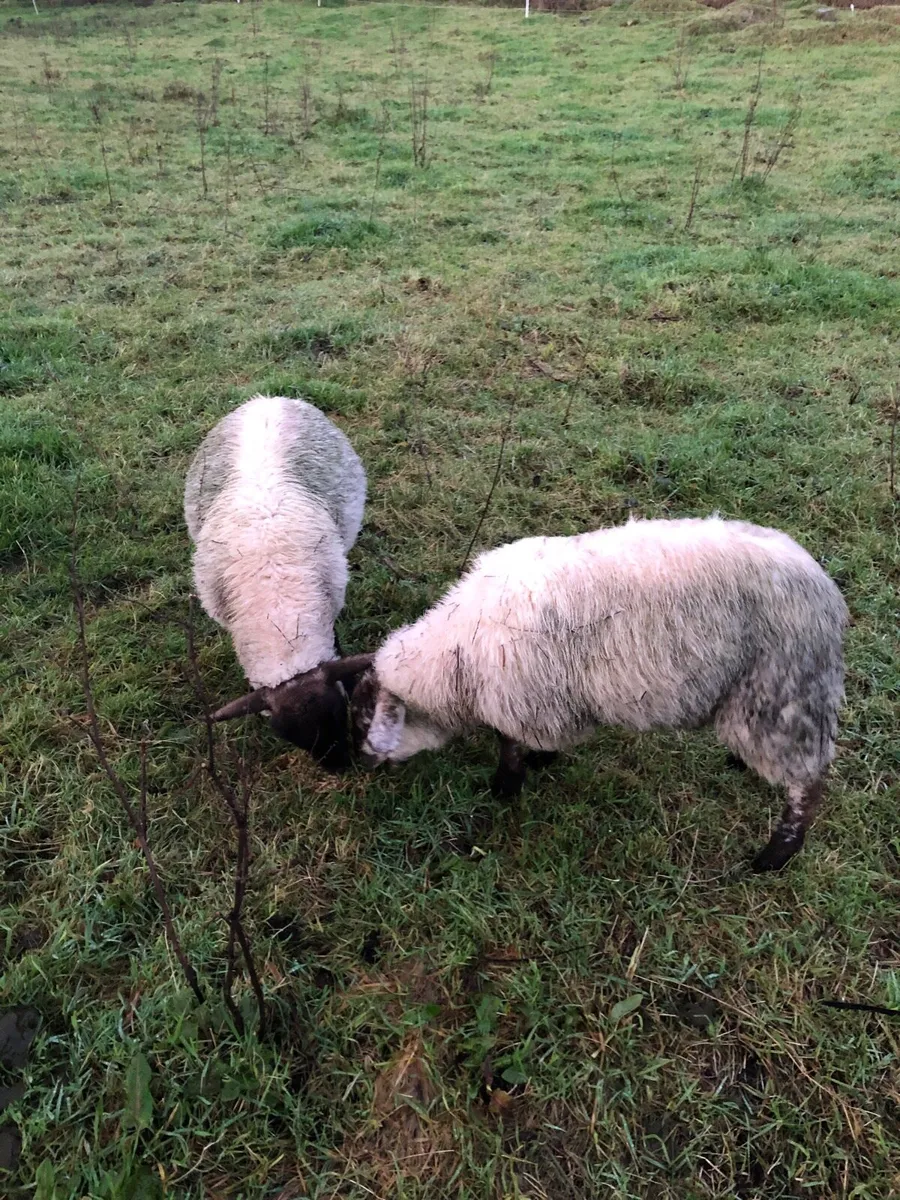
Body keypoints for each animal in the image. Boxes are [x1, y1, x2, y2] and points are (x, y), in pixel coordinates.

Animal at [347, 516, 849, 871]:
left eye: (363, 718)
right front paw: (541, 761)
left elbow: (509, 745)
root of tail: (825, 592)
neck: (456, 655)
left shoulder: (522, 696)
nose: (359, 767)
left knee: (806, 784)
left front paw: (505, 787)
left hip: (785, 688)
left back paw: (774, 856)